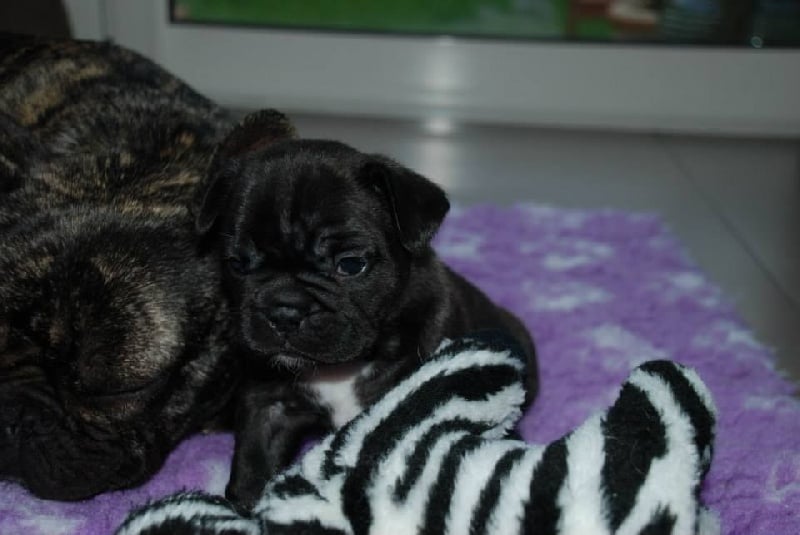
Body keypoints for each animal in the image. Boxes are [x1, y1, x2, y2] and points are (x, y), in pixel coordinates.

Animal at [194, 111, 539, 508]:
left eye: (350, 265)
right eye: (237, 264)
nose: (284, 310)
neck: (341, 368)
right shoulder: (268, 405)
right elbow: (254, 461)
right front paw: (245, 508)